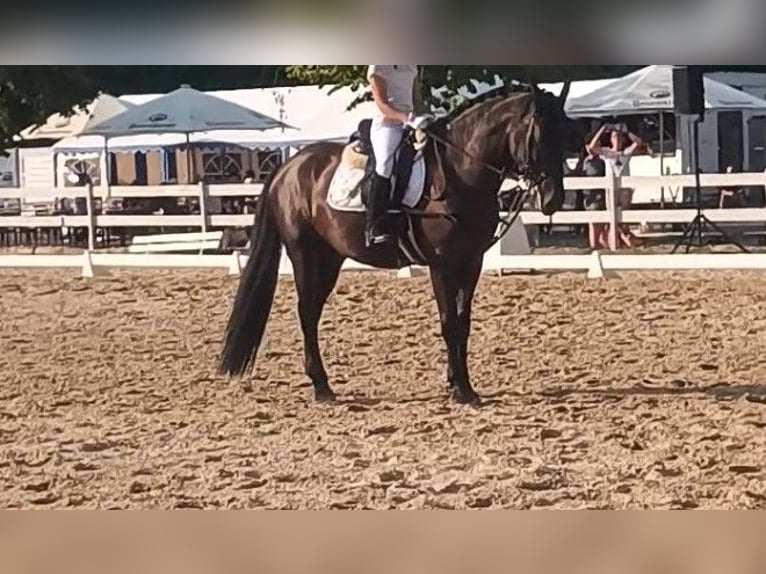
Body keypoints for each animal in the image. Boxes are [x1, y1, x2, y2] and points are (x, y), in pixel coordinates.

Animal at [218, 81, 571, 405]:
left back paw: (323, 384)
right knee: (306, 312)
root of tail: (288, 167)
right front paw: (460, 390)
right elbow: (449, 323)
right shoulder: (442, 264)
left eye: (565, 133)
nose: (553, 200)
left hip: (330, 257)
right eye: (539, 135)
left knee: (314, 311)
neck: (461, 172)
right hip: (305, 254)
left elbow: (463, 322)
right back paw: (321, 387)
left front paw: (462, 384)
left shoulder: (471, 261)